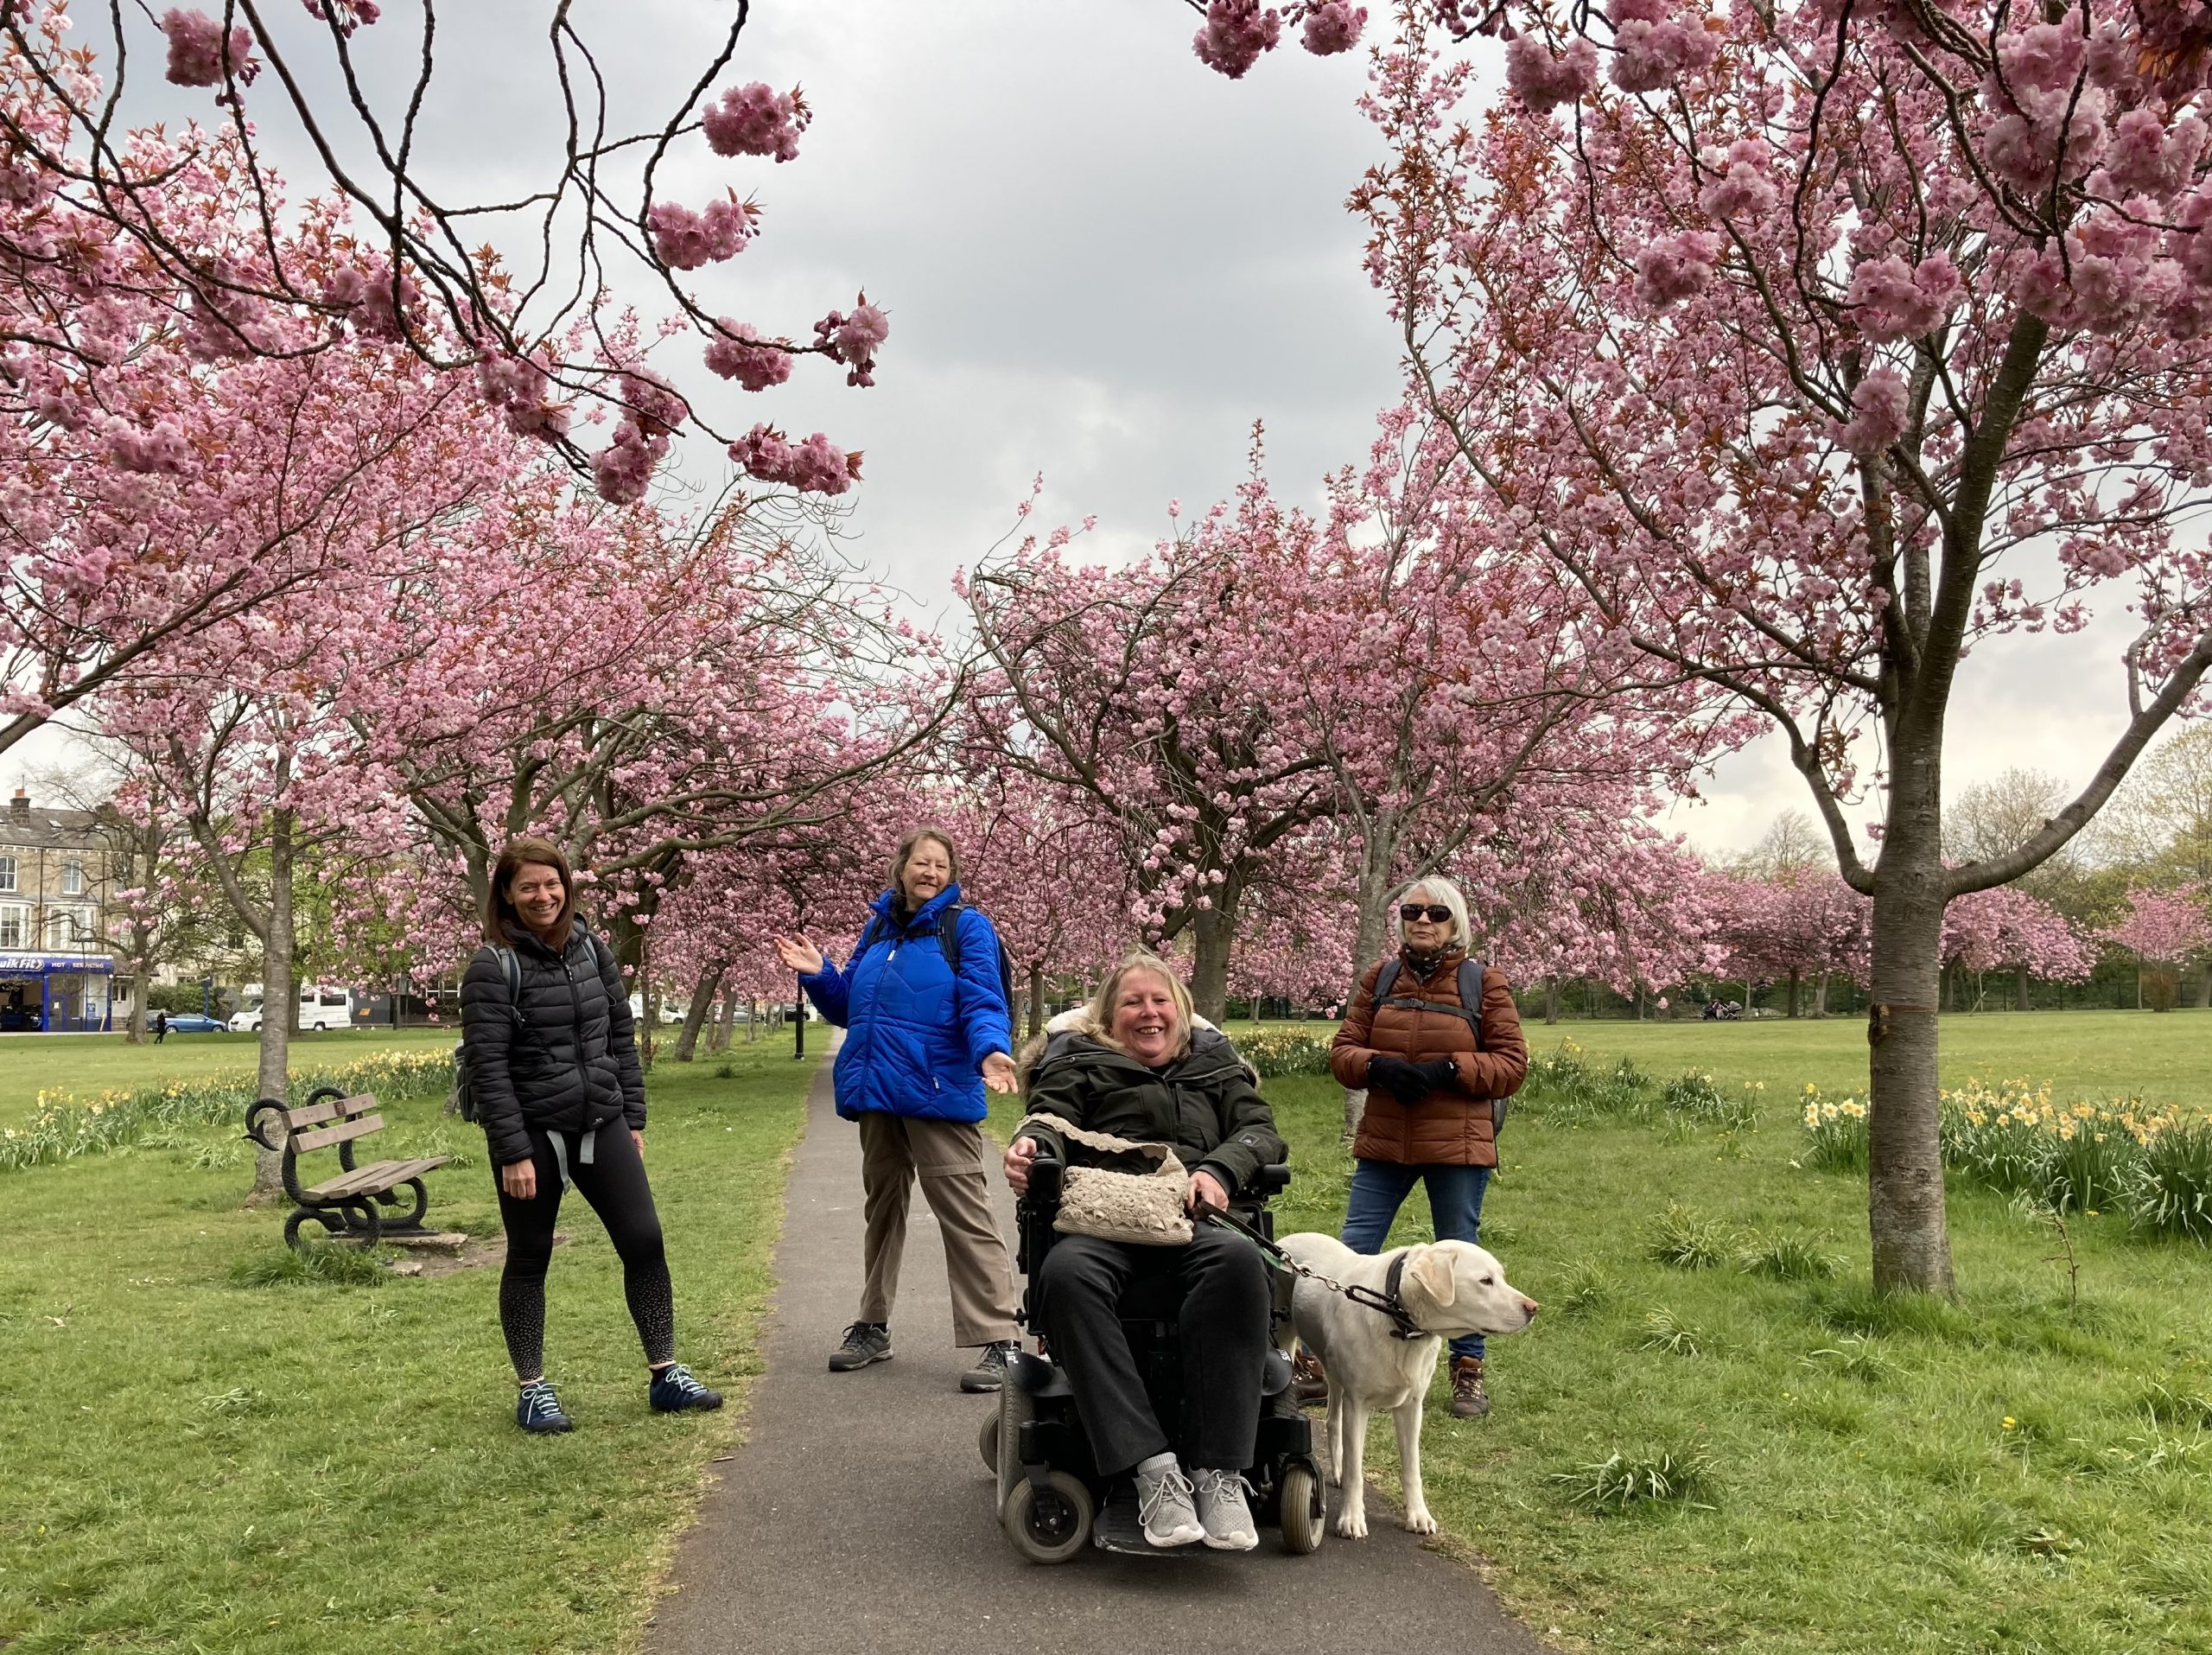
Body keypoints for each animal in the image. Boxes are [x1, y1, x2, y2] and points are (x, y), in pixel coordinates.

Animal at [1282, 1230, 1539, 1539]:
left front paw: (1418, 1515)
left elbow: (1411, 1469)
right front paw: (1351, 1519)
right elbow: (1357, 1470)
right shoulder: (1358, 1405)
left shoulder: (1411, 1407)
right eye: (1485, 1281)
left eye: (1500, 1276)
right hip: (1286, 1341)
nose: (1533, 1308)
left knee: (1333, 1421)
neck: (1397, 1316)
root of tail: (1288, 1239)